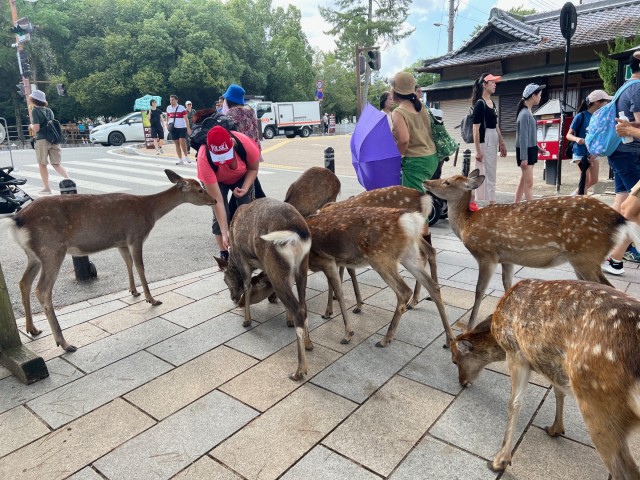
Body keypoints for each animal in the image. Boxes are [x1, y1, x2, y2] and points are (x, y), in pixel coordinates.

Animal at [1, 170, 218, 352]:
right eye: (200, 189)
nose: (215, 200)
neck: (149, 211)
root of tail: (17, 219)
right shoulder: (135, 235)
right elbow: (140, 266)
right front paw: (152, 299)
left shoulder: (120, 242)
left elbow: (128, 263)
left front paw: (134, 291)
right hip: (52, 249)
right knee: (42, 289)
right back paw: (64, 343)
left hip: (34, 254)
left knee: (24, 282)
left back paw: (32, 329)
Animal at [212, 197, 312, 380]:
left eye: (224, 279)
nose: (233, 298)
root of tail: (298, 233)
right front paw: (287, 319)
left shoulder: (243, 261)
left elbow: (248, 285)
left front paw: (246, 320)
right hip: (302, 267)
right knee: (303, 305)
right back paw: (309, 343)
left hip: (274, 263)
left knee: (298, 310)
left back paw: (299, 371)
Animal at [422, 171, 636, 332]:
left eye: (447, 182)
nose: (426, 181)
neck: (467, 224)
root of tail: (621, 221)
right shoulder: (507, 258)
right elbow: (507, 285)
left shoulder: (486, 254)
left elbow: (479, 290)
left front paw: (468, 327)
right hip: (582, 259)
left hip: (586, 255)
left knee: (611, 290)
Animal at [450, 280, 640, 480]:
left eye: (454, 360)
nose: (462, 381)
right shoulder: (554, 365)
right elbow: (558, 391)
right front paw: (556, 429)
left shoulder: (516, 353)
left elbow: (514, 402)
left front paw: (499, 461)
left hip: (599, 405)